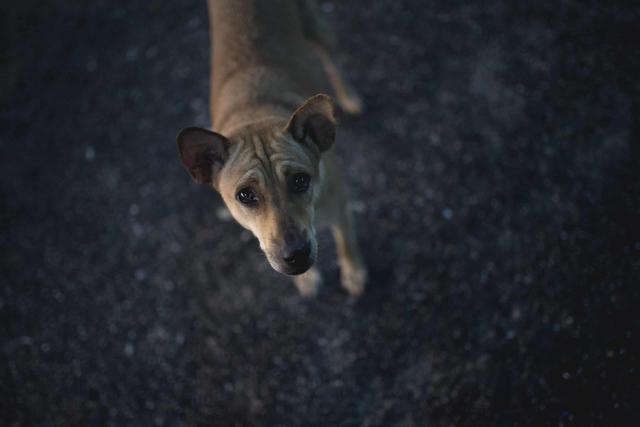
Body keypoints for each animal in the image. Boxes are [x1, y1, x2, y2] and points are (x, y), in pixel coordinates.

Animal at [176, 0, 364, 298]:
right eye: (245, 195)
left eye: (300, 180)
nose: (296, 255)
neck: (255, 114)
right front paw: (307, 280)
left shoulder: (340, 206)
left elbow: (346, 241)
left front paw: (354, 272)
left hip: (314, 25)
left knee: (329, 55)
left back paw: (349, 96)